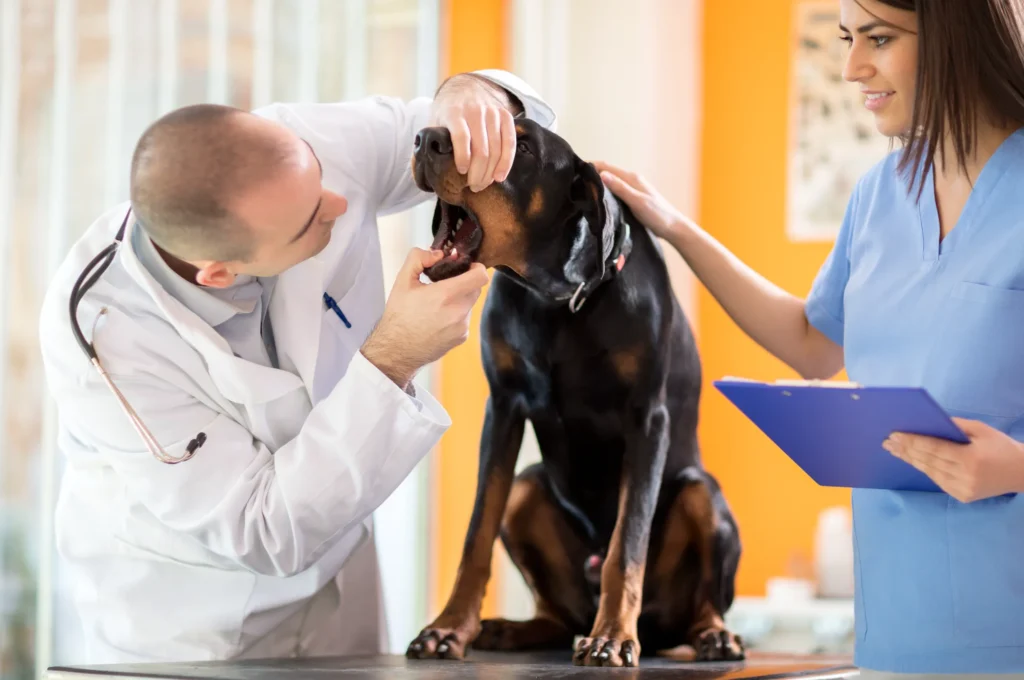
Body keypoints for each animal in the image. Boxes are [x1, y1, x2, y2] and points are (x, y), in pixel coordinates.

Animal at [403, 119, 749, 667]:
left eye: (522, 147)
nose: (425, 138)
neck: (557, 299)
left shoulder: (647, 419)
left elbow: (626, 544)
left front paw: (611, 637)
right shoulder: (503, 407)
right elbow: (477, 534)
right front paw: (449, 627)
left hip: (702, 493)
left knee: (702, 601)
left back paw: (711, 634)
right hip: (526, 493)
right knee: (557, 612)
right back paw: (509, 630)